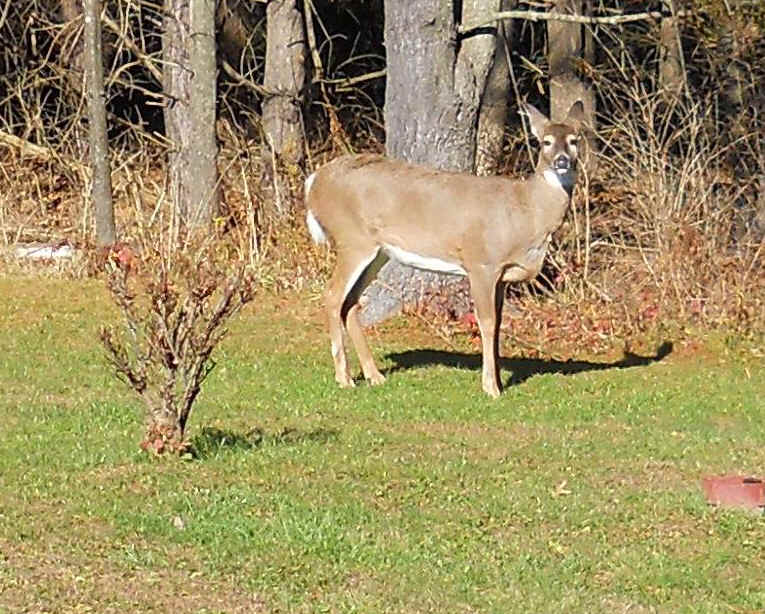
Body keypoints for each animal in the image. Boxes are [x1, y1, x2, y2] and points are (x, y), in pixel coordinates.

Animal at [304, 101, 584, 398]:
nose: (562, 161)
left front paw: (497, 379)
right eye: (545, 142)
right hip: (352, 238)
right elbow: (486, 322)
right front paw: (491, 387)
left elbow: (498, 324)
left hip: (378, 252)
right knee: (333, 295)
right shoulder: (481, 262)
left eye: (575, 140)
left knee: (351, 302)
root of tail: (313, 181)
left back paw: (374, 375)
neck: (527, 212)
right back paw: (344, 378)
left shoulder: (501, 274)